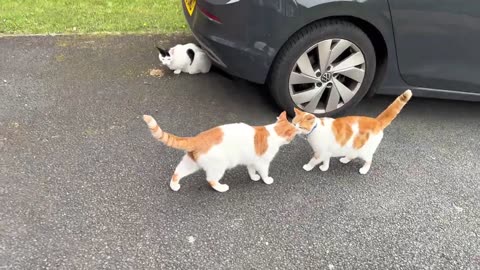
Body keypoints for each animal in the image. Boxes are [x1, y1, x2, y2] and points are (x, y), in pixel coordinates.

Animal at [142, 112, 296, 192]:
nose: (294, 138)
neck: (274, 131)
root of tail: (198, 138)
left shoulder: (252, 161)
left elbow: (251, 170)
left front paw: (253, 177)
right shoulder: (262, 162)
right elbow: (264, 172)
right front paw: (267, 180)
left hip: (191, 163)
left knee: (177, 172)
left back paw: (174, 186)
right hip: (219, 166)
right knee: (211, 180)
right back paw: (221, 188)